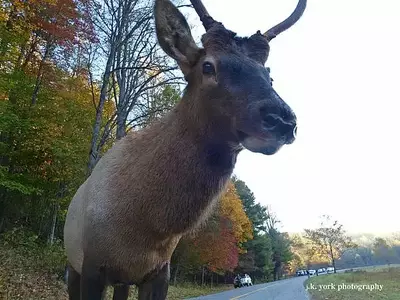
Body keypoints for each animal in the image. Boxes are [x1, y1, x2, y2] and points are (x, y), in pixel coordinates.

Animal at [63, 0, 306, 298]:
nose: (282, 119)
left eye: (269, 75)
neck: (142, 232)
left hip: (121, 282)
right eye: (208, 66)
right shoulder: (92, 265)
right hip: (72, 264)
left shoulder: (159, 271)